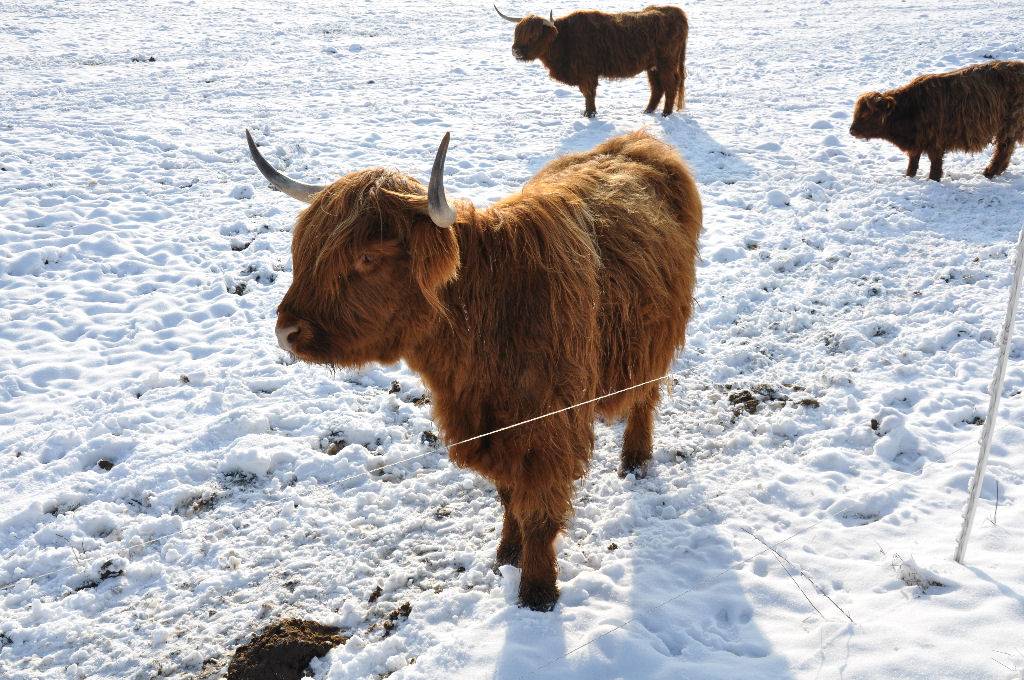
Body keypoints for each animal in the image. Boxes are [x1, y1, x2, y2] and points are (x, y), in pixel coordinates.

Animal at [245, 127, 704, 610]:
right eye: (304, 250)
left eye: (368, 257)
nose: (286, 331)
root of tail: (638, 141)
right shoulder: (490, 428)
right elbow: (508, 497)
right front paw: (507, 553)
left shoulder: (547, 429)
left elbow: (538, 512)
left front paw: (537, 591)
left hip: (656, 341)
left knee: (646, 395)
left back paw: (635, 460)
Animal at [493, 4, 688, 118]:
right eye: (517, 33)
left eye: (533, 36)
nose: (516, 51)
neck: (563, 39)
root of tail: (675, 11)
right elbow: (587, 94)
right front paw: (588, 112)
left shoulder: (587, 73)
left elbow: (589, 93)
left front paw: (590, 114)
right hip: (653, 66)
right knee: (657, 87)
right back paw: (647, 111)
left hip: (666, 63)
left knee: (670, 85)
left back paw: (665, 113)